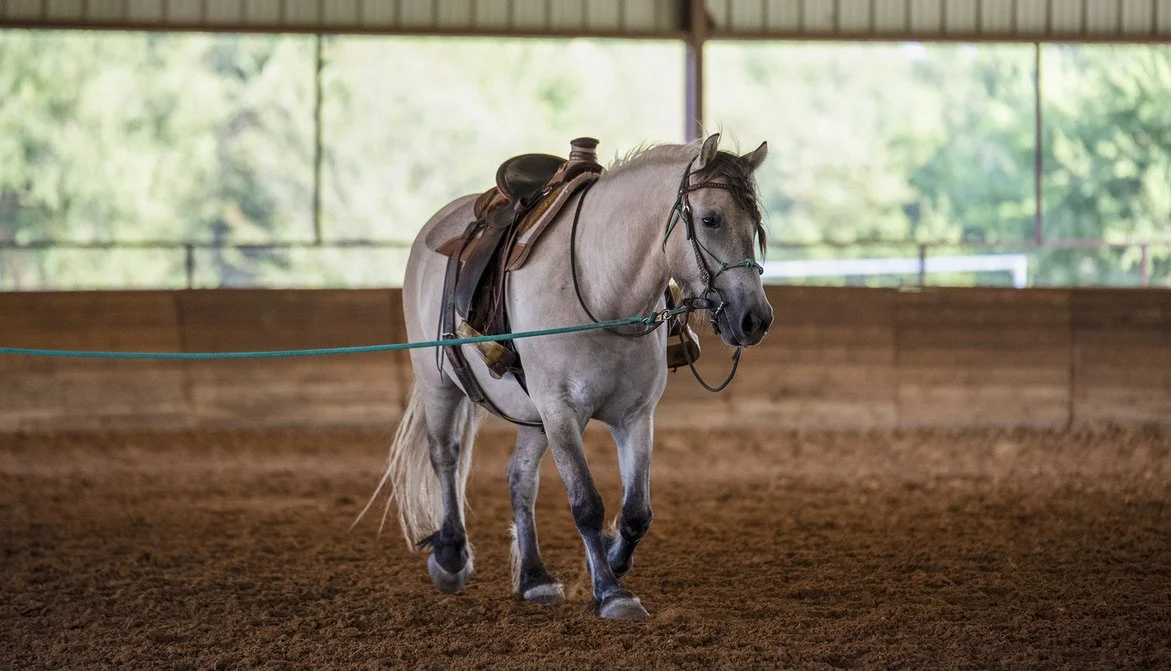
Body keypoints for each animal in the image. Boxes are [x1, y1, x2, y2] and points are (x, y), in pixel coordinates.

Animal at [362, 133, 773, 620]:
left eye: (756, 227)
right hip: (439, 383)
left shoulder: (635, 416)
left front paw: (612, 557)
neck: (602, 291)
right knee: (445, 456)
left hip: (532, 415)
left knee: (520, 478)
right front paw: (611, 592)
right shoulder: (560, 411)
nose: (755, 319)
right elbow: (586, 505)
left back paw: (534, 577)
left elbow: (637, 511)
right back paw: (451, 557)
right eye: (710, 219)